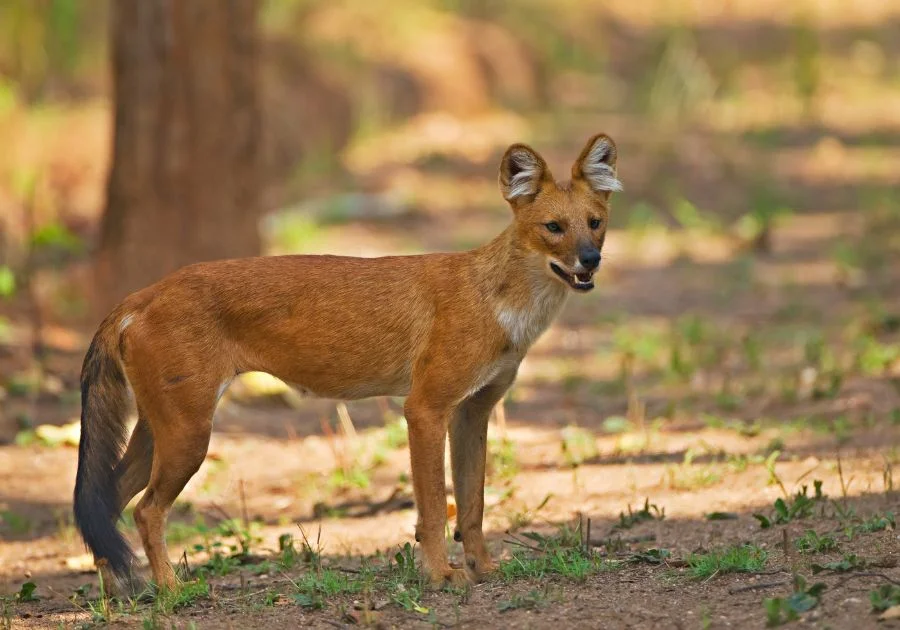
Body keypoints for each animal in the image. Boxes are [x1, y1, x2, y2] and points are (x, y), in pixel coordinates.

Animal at [74, 133, 624, 592]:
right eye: (553, 228)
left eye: (595, 223)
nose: (590, 259)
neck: (500, 301)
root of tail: (142, 294)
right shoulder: (425, 409)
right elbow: (432, 508)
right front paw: (441, 576)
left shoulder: (473, 412)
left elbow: (472, 505)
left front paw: (484, 569)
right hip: (189, 435)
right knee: (146, 511)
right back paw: (171, 591)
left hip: (162, 431)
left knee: (105, 505)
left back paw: (119, 595)